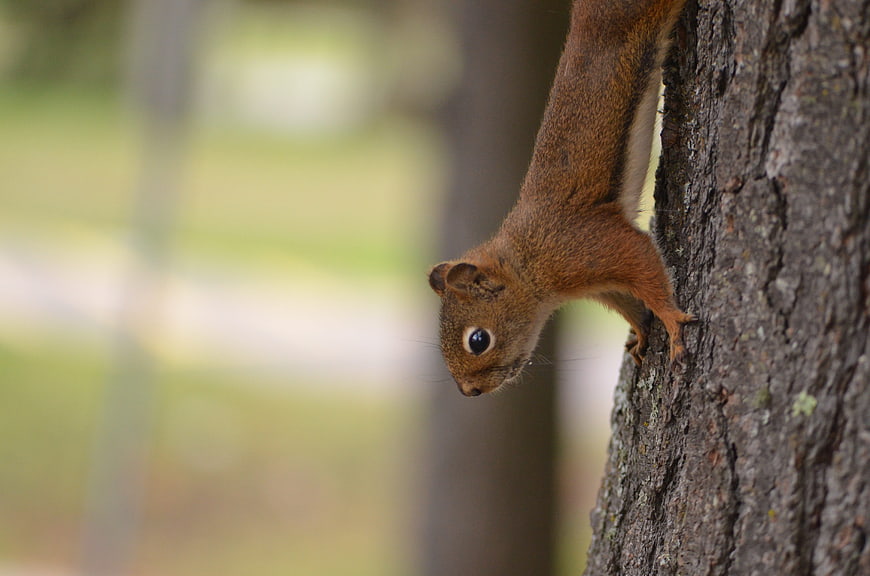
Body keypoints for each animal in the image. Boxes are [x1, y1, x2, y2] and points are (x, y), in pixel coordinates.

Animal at [428, 0, 694, 397]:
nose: (468, 391)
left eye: (478, 340)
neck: (526, 260)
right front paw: (642, 332)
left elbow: (645, 264)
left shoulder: (586, 246)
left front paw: (672, 321)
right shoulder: (600, 284)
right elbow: (629, 303)